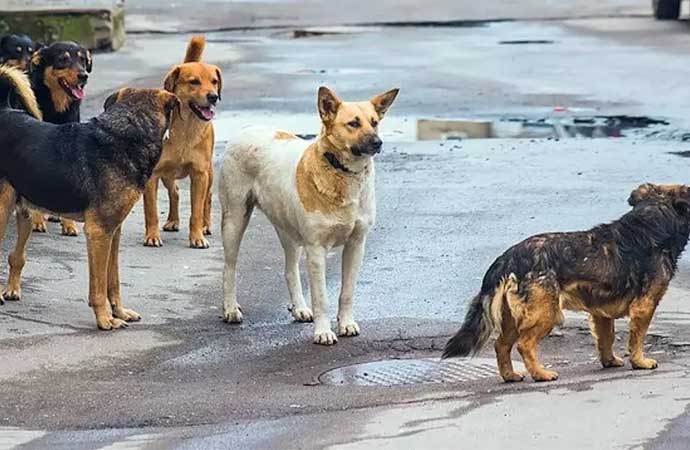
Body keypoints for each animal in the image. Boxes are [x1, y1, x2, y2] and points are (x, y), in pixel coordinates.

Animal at [0, 65, 180, 328]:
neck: (128, 133)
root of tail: (4, 110)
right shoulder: (98, 232)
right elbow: (98, 286)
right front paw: (105, 319)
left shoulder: (113, 231)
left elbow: (112, 281)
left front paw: (119, 312)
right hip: (2, 210)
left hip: (24, 211)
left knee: (17, 255)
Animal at [215, 85, 398, 344]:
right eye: (353, 123)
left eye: (375, 122)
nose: (378, 142)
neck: (341, 173)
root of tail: (247, 128)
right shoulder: (317, 249)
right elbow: (321, 298)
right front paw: (323, 332)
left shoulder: (356, 245)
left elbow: (347, 293)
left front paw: (346, 324)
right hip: (234, 220)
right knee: (229, 268)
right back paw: (230, 308)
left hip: (288, 231)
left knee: (290, 270)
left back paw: (299, 308)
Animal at [444, 185, 688, 382]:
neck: (651, 222)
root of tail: (508, 258)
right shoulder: (644, 306)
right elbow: (637, 339)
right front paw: (640, 362)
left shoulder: (601, 313)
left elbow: (606, 339)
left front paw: (609, 361)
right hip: (546, 313)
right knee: (524, 344)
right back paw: (541, 374)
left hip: (513, 317)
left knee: (501, 345)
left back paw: (510, 375)